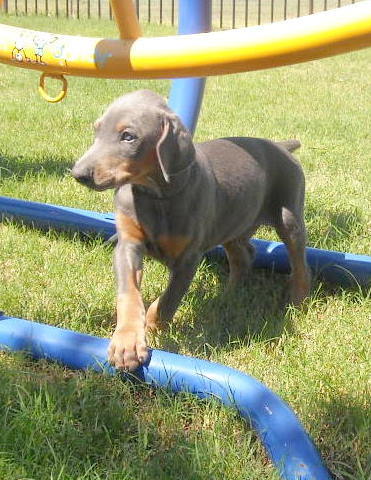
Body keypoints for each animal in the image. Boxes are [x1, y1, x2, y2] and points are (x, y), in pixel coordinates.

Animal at [72, 89, 310, 372]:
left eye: (128, 136)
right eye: (97, 131)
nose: (78, 174)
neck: (155, 196)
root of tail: (280, 145)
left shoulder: (188, 258)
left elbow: (167, 301)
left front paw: (152, 328)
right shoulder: (128, 244)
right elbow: (129, 294)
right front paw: (126, 343)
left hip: (289, 216)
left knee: (299, 263)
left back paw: (297, 300)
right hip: (233, 219)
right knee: (244, 254)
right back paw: (226, 295)